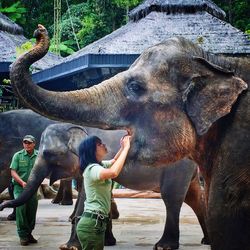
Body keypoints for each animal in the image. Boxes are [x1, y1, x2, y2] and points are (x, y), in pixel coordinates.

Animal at [0, 123, 209, 250]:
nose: (2, 206)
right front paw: (108, 242)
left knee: (172, 198)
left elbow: (85, 197)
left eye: (49, 154)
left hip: (177, 168)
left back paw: (164, 246)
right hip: (187, 171)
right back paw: (207, 240)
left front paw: (69, 246)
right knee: (194, 199)